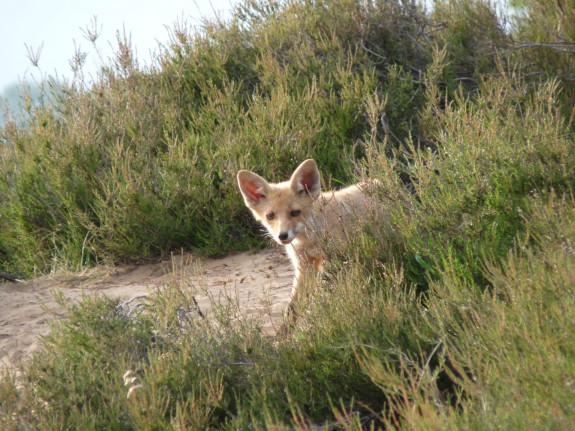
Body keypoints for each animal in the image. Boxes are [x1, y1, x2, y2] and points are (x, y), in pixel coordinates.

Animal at [236, 159, 380, 310]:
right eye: (270, 216)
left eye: (295, 213)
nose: (282, 236)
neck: (309, 240)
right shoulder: (304, 266)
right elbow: (293, 306)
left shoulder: (338, 259)